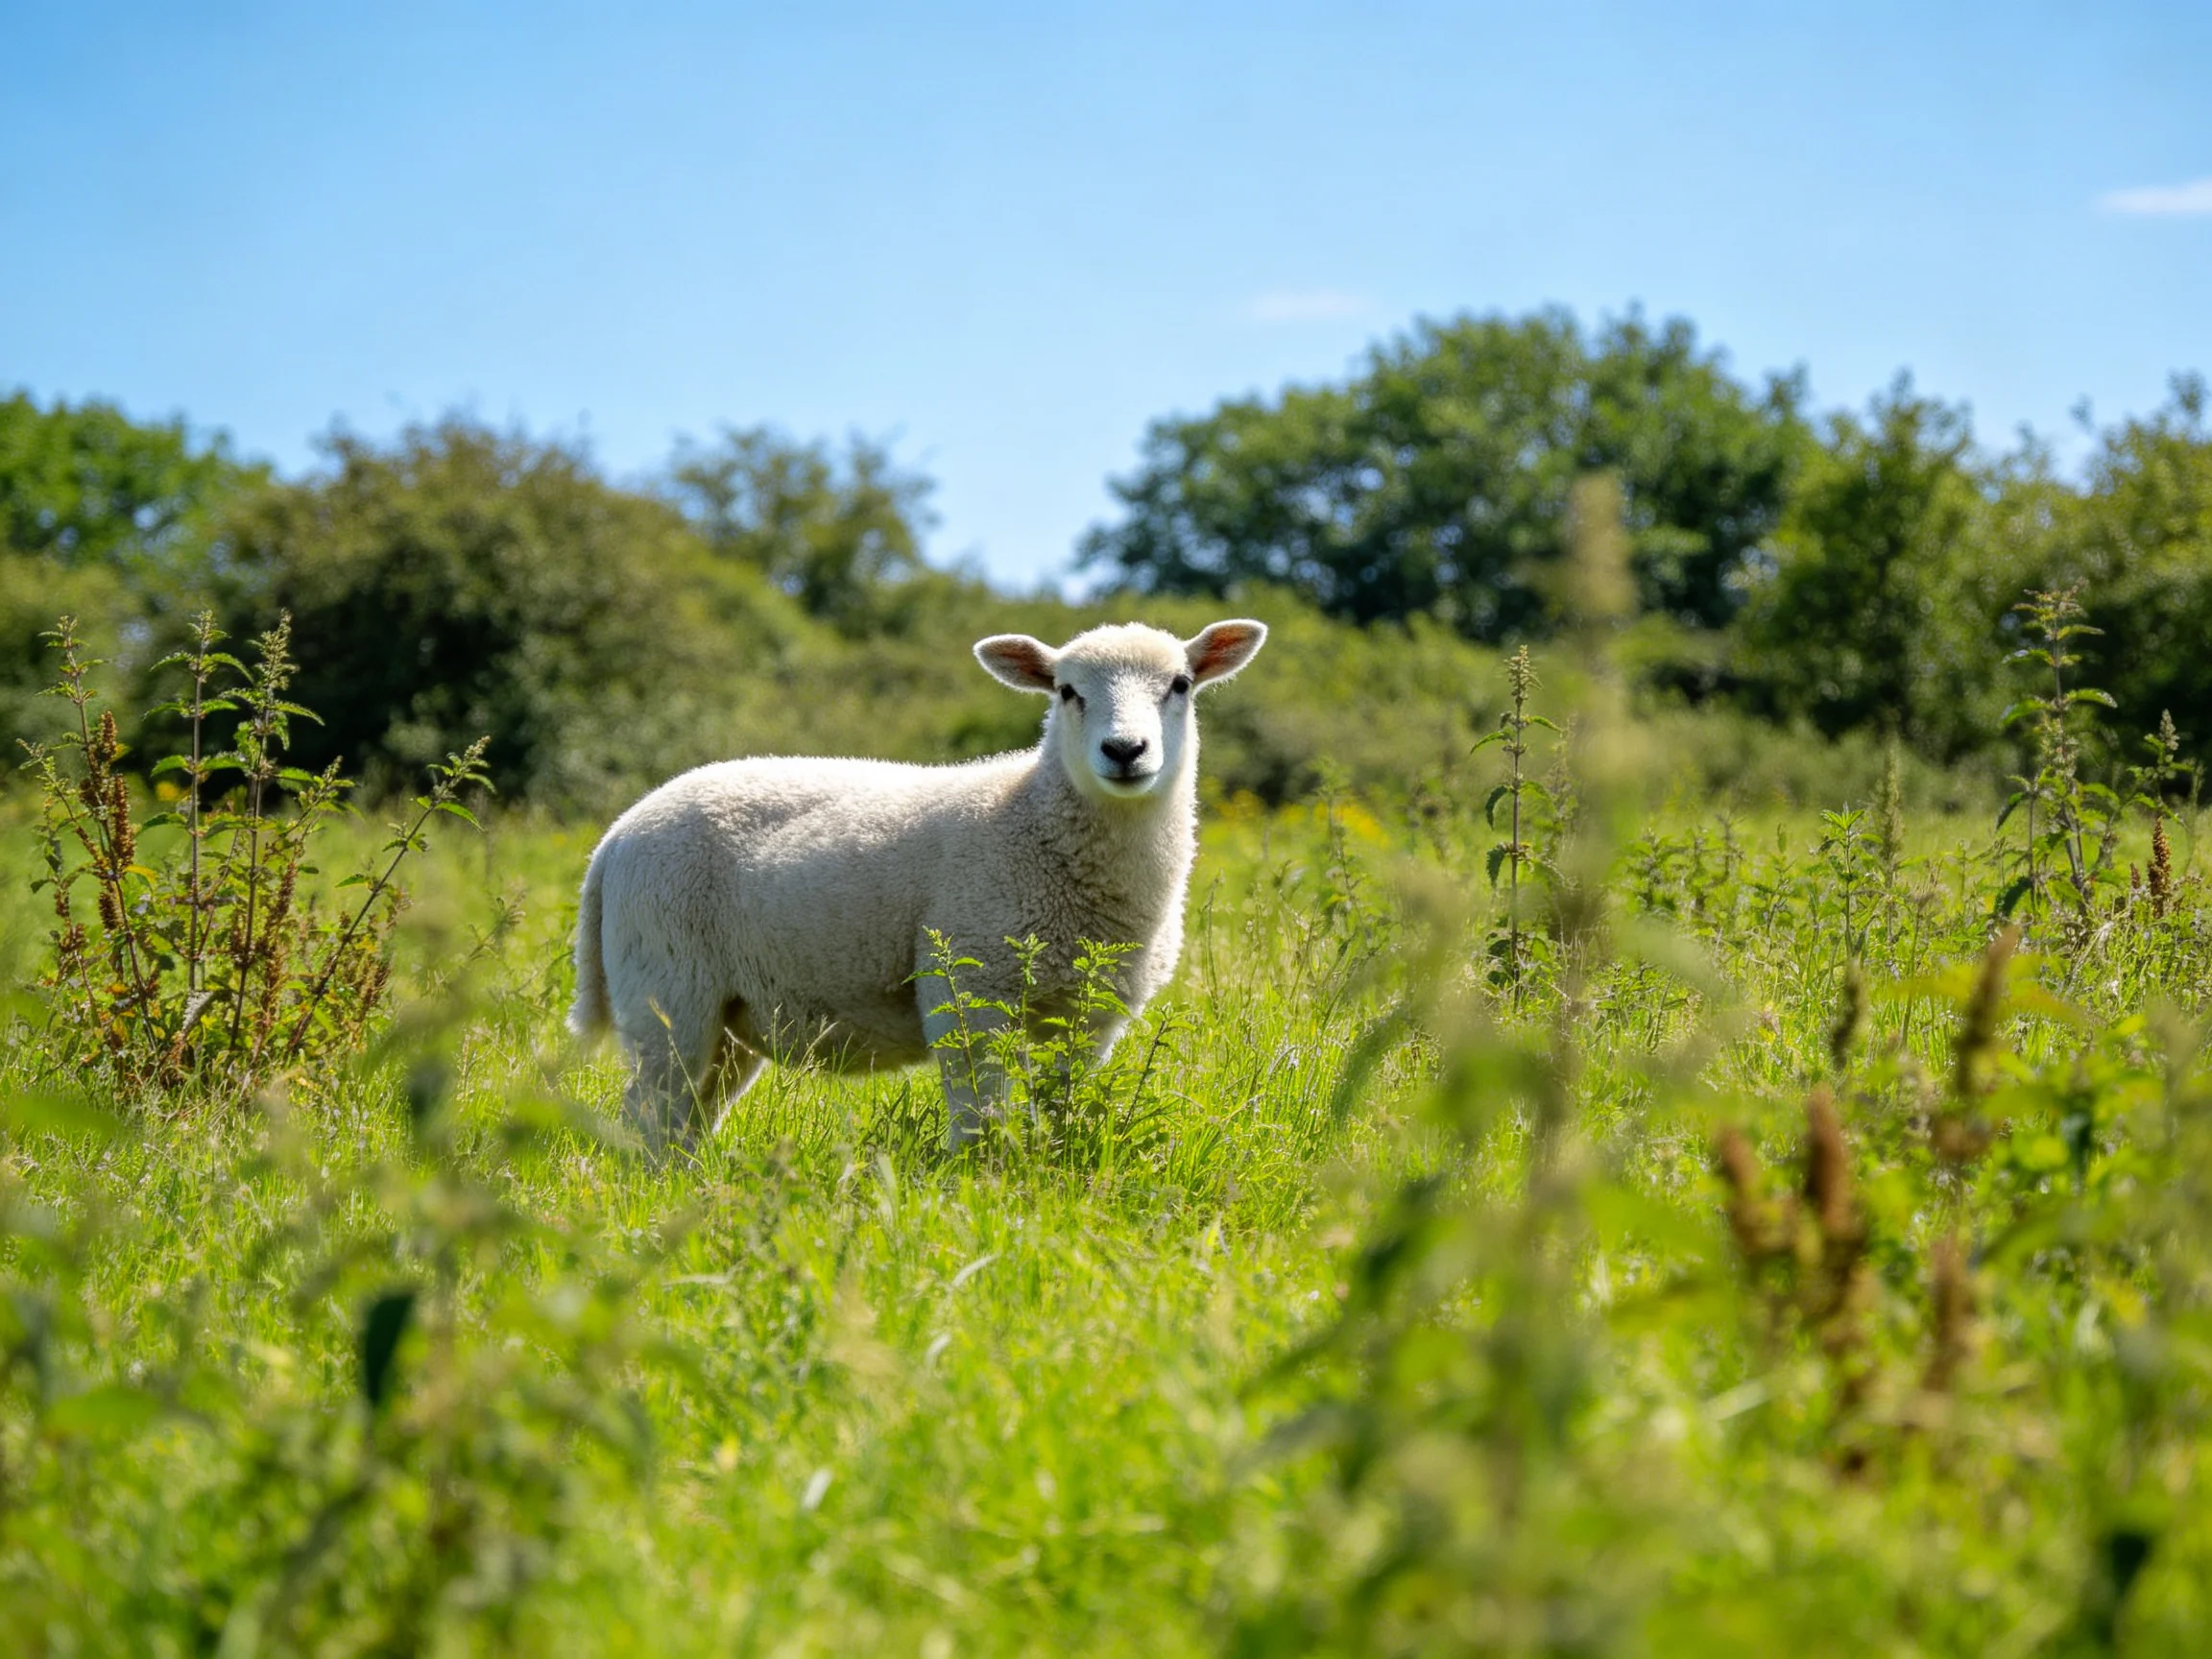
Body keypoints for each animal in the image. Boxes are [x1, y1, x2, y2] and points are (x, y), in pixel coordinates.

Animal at [567, 618, 1268, 1153]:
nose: (1125, 751)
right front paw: (979, 1184)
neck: (1030, 819)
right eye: (1067, 691)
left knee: (686, 1118)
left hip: (730, 1015)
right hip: (666, 985)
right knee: (649, 1111)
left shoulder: (1092, 1012)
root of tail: (616, 836)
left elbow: (1060, 1105)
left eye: (1180, 684)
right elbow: (981, 1111)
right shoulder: (970, 981)